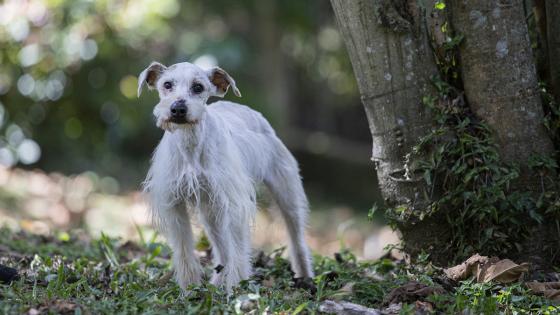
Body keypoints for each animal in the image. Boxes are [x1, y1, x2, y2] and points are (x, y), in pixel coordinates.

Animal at [137, 61, 316, 292]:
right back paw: (217, 282)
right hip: (211, 214)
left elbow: (238, 251)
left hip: (287, 196)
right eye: (167, 84)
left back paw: (305, 277)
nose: (177, 109)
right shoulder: (174, 205)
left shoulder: (235, 204)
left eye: (198, 87)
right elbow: (185, 250)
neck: (191, 145)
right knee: (222, 250)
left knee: (297, 240)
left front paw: (237, 287)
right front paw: (189, 288)